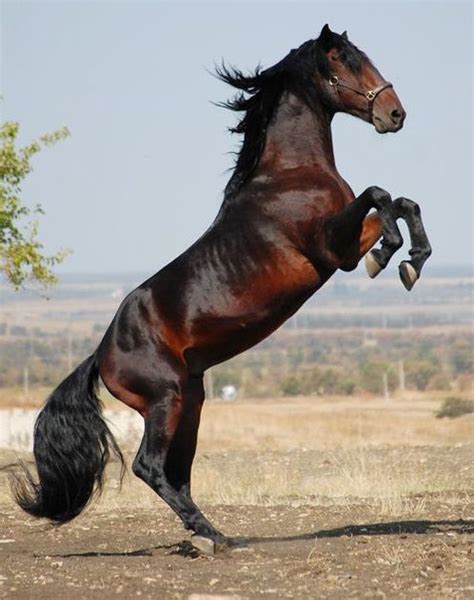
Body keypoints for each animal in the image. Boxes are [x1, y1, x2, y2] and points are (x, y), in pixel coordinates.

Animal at [12, 25, 432, 548]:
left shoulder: (348, 240)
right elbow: (380, 197)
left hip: (191, 402)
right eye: (345, 62)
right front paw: (392, 257)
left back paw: (203, 535)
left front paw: (414, 260)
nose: (394, 113)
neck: (289, 173)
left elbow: (403, 201)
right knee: (149, 466)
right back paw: (214, 536)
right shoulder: (336, 251)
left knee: (177, 472)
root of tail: (101, 355)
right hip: (167, 399)